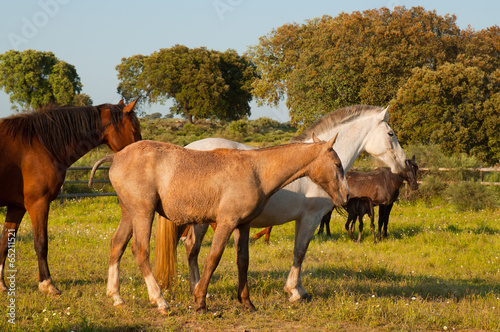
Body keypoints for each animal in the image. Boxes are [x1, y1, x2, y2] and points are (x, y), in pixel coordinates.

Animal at [0, 100, 141, 294]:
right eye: (134, 127)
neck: (40, 145)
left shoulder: (17, 207)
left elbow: (5, 242)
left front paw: (1, 284)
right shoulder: (38, 204)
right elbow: (41, 244)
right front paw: (47, 284)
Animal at [89, 134, 348, 314]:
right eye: (337, 164)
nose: (345, 196)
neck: (256, 170)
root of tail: (117, 156)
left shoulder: (243, 225)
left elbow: (243, 262)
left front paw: (246, 302)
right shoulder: (226, 222)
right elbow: (213, 259)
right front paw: (200, 301)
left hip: (129, 213)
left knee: (117, 245)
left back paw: (116, 296)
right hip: (143, 212)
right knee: (140, 250)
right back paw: (160, 301)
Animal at [154, 105, 408, 302]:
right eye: (390, 133)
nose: (404, 163)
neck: (312, 167)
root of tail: (186, 149)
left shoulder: (301, 219)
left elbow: (298, 251)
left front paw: (297, 288)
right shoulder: (311, 217)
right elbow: (300, 251)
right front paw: (295, 291)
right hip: (201, 220)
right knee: (192, 248)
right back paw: (201, 291)